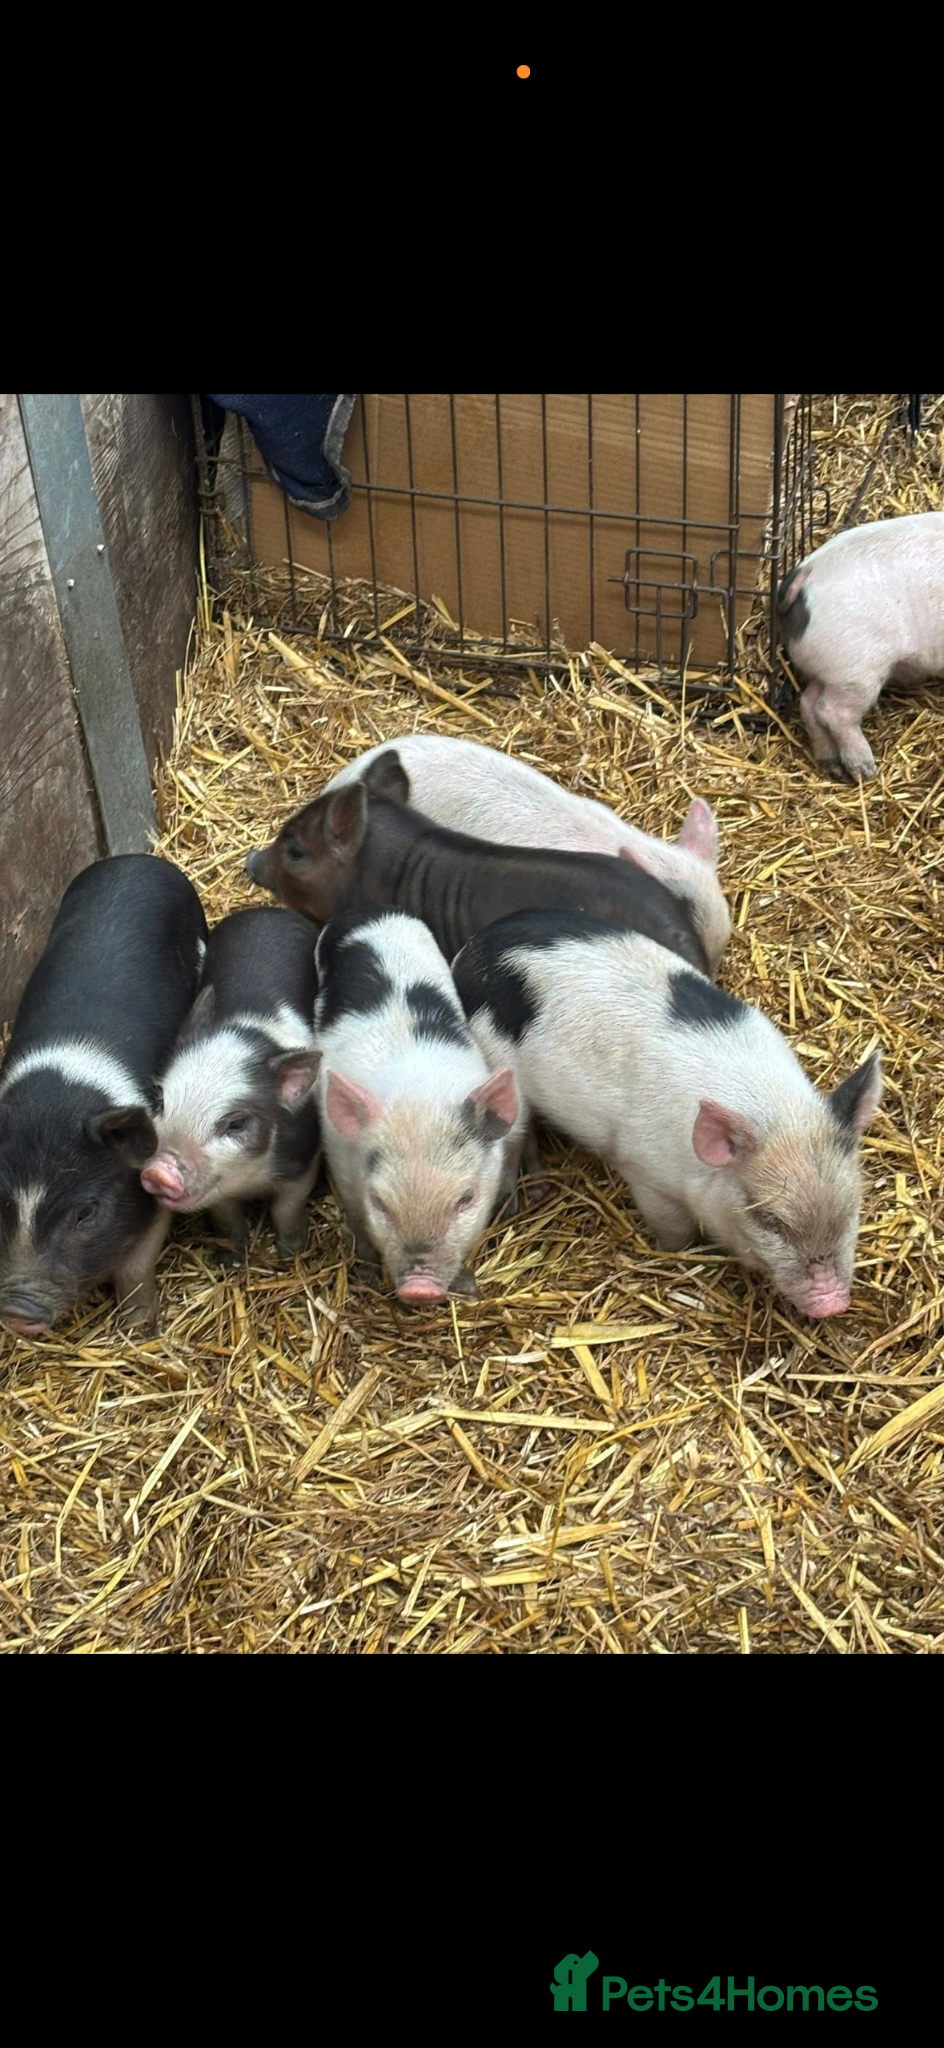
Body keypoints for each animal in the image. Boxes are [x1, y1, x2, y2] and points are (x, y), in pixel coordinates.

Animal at [0, 856, 207, 1338]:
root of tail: (138, 860)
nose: (16, 1311)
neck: (56, 1096)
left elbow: (134, 1266)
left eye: (86, 1212)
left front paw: (139, 1329)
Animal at [138, 907, 322, 1255]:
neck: (251, 1181)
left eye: (236, 1124)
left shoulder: (304, 1161)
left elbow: (286, 1207)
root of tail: (266, 911)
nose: (158, 1171)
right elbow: (225, 1216)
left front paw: (291, 1251)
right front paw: (231, 1257)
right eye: (161, 1101)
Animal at [314, 909, 523, 1303]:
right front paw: (366, 1265)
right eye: (380, 1202)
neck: (418, 1091)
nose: (419, 1289)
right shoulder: (339, 1157)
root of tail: (369, 912)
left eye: (465, 1199)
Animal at [452, 909, 883, 1319]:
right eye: (769, 1220)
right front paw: (679, 1254)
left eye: (852, 1209)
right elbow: (674, 1233)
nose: (832, 1303)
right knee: (515, 1136)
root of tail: (472, 949)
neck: (773, 1112)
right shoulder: (646, 1173)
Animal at [779, 510, 944, 781]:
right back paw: (865, 771)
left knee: (808, 703)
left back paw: (833, 767)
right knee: (831, 711)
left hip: (832, 668)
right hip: (859, 668)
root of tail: (805, 575)